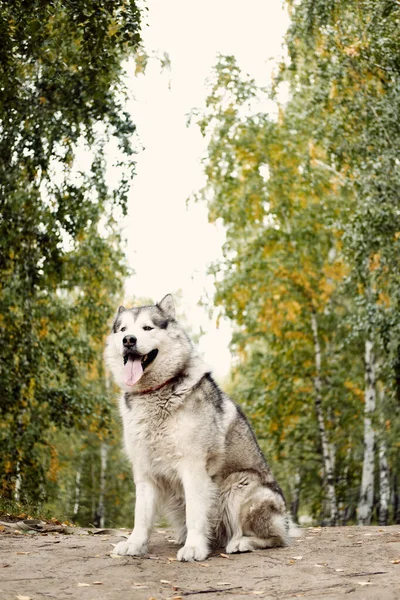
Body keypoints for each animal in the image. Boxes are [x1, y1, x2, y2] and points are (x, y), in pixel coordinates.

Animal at [104, 296, 296, 564]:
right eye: (123, 330)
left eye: (147, 328)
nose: (129, 341)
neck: (155, 394)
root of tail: (286, 521)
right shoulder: (144, 471)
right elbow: (140, 515)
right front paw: (135, 543)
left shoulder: (193, 467)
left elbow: (195, 514)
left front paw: (194, 547)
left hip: (239, 486)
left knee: (275, 539)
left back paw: (241, 542)